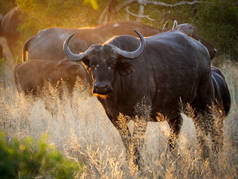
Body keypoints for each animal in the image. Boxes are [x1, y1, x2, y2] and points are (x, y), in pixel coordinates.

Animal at [63, 30, 219, 169]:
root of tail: (202, 49)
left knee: (209, 125)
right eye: (92, 64)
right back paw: (171, 156)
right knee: (179, 125)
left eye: (112, 63)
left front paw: (138, 165)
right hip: (175, 108)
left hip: (204, 100)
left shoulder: (141, 113)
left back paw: (211, 154)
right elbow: (127, 141)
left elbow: (137, 142)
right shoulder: (114, 116)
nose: (101, 87)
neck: (119, 93)